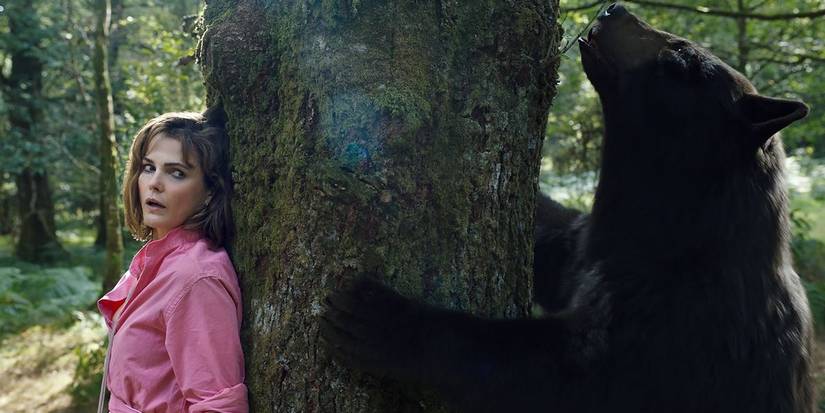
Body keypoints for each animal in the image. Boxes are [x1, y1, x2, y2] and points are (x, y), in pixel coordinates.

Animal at [320, 4, 813, 412]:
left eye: (681, 58)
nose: (615, 8)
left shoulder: (677, 329)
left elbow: (552, 374)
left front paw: (385, 320)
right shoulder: (590, 246)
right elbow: (554, 243)